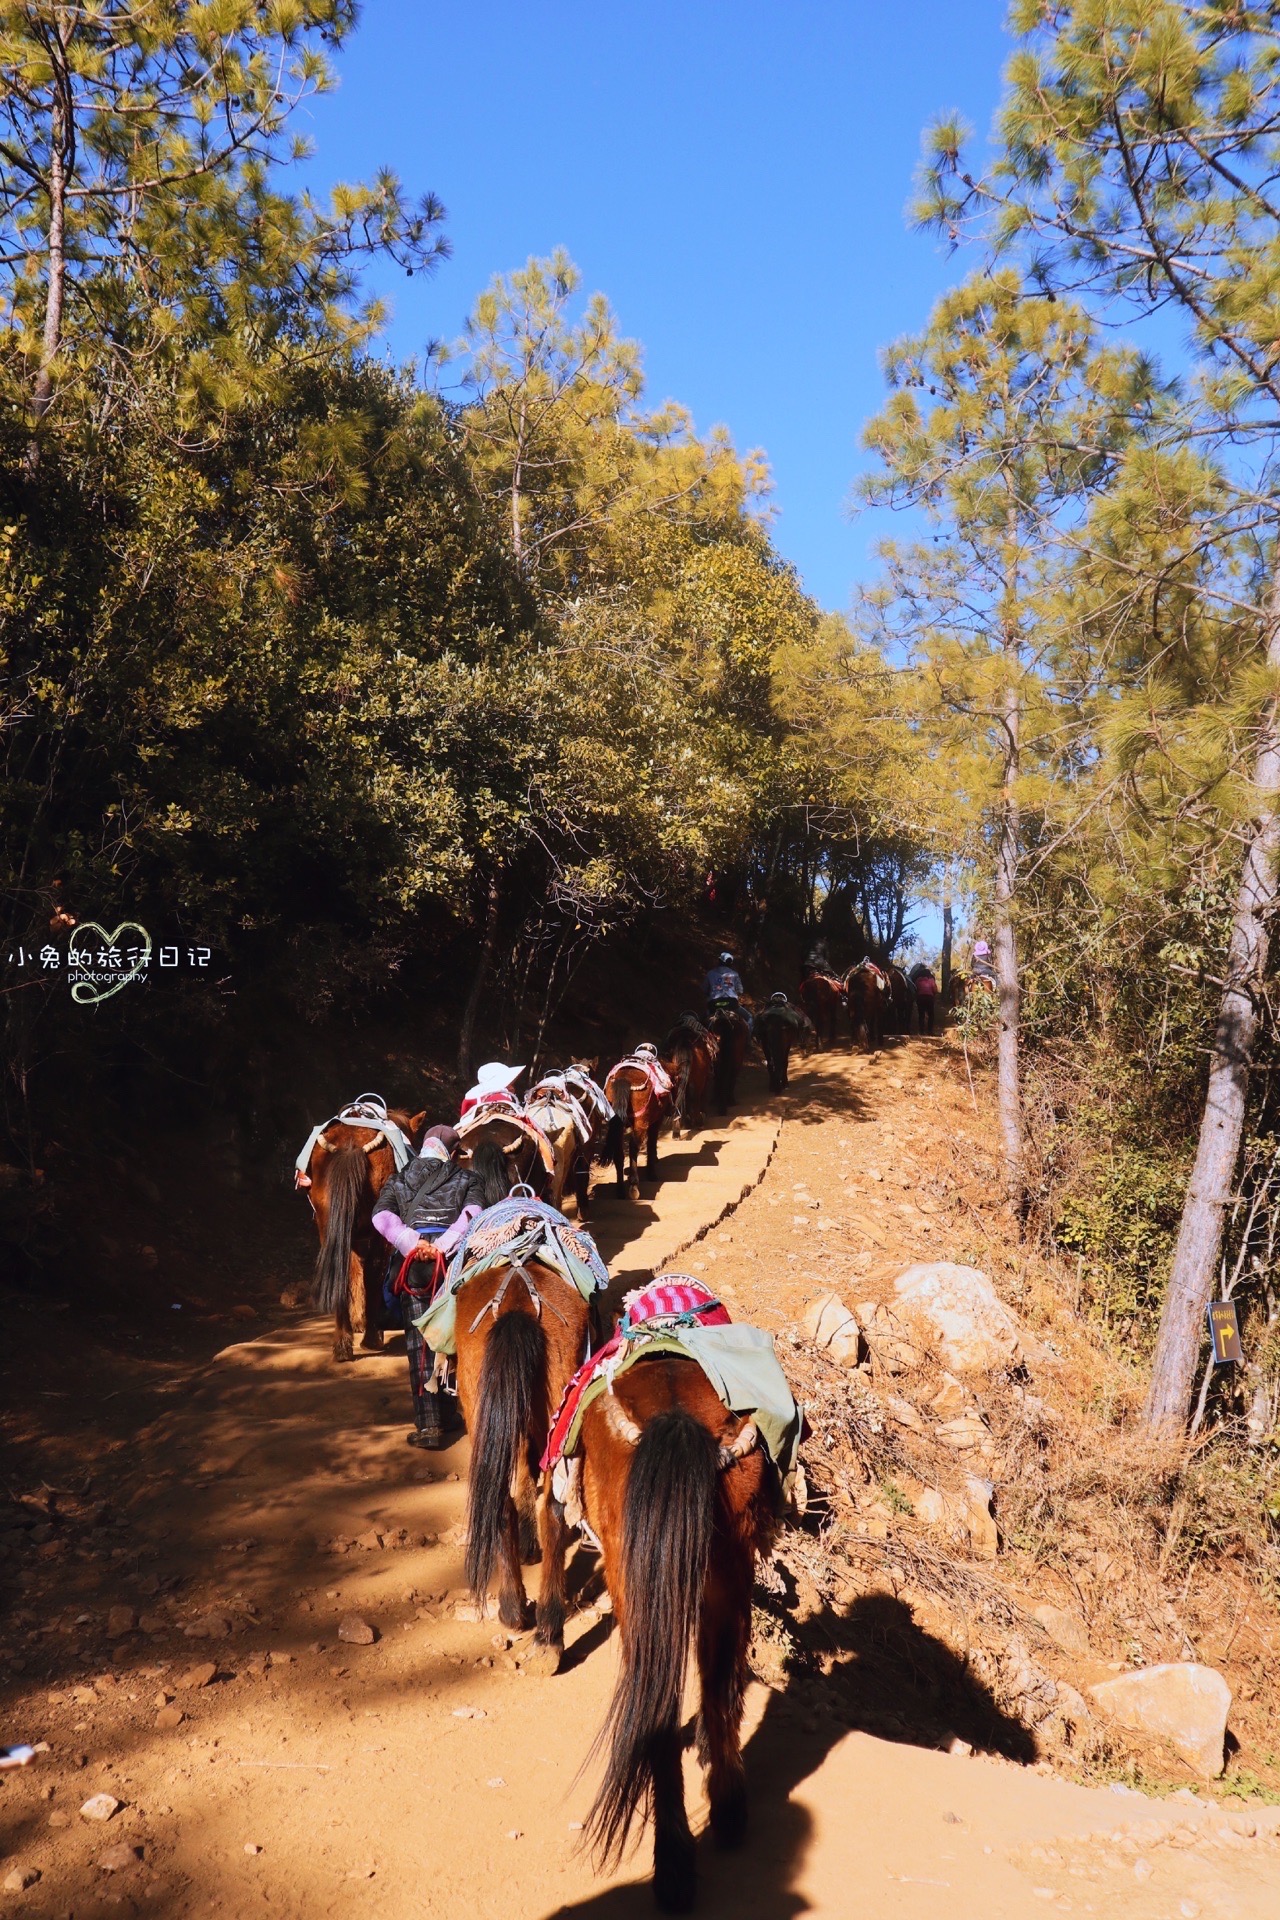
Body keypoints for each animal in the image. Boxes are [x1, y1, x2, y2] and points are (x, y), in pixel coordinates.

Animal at [299, 1105, 426, 1359]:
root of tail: (350, 1146)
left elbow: (353, 1270)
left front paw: (357, 1321)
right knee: (374, 1270)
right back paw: (371, 1336)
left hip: (329, 1224)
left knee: (341, 1269)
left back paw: (343, 1342)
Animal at [583, 1359, 782, 1912]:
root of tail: (678, 1418)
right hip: (725, 1572)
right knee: (712, 1688)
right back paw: (724, 1815)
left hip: (635, 1582)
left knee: (663, 1704)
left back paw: (674, 1863)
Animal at [606, 1052, 675, 1198]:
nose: (671, 1109)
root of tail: (624, 1079)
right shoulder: (655, 1122)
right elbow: (651, 1145)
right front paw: (652, 1174)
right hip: (640, 1123)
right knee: (633, 1146)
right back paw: (633, 1186)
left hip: (618, 1125)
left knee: (619, 1152)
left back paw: (620, 1190)